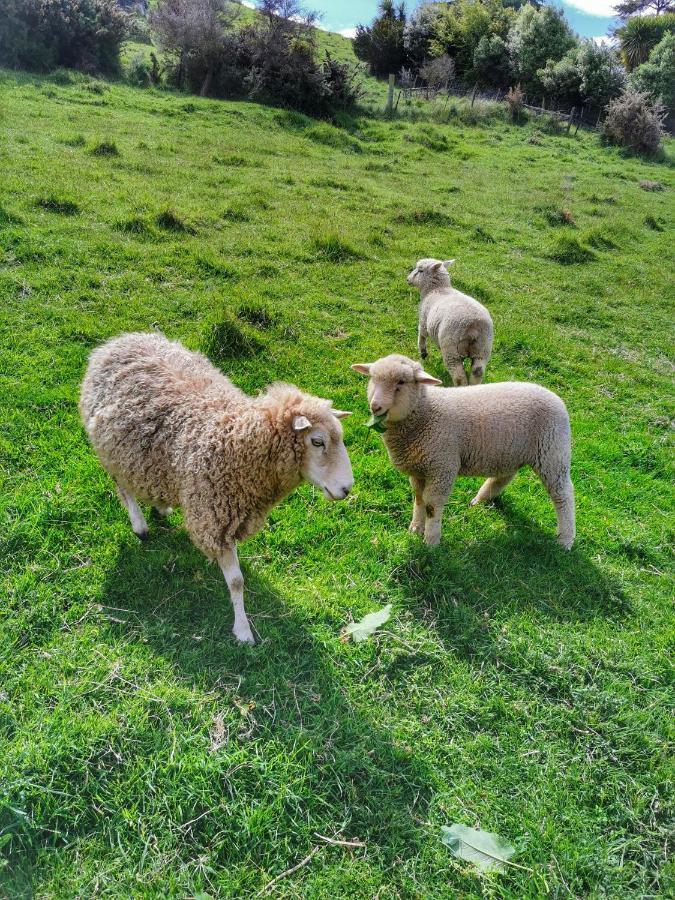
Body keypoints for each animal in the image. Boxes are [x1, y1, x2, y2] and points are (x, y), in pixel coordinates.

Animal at [80, 334, 354, 644]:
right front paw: (243, 630)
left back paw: (162, 506)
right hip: (111, 454)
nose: (346, 488)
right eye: (317, 442)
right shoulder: (216, 520)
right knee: (123, 488)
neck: (233, 443)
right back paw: (140, 526)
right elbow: (236, 582)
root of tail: (115, 342)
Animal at [354, 356, 576, 552]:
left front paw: (431, 541)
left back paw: (565, 539)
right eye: (372, 378)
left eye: (401, 382)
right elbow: (418, 499)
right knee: (503, 477)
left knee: (563, 495)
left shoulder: (442, 467)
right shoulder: (418, 469)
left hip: (552, 453)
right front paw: (415, 528)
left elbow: (432, 505)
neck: (425, 411)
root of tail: (556, 398)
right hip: (509, 452)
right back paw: (480, 500)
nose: (375, 406)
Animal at [406, 255, 496, 384]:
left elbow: (422, 336)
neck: (436, 289)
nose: (408, 279)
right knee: (477, 371)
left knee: (458, 375)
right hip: (483, 348)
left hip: (451, 347)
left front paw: (423, 353)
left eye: (420, 270)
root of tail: (473, 326)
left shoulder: (424, 321)